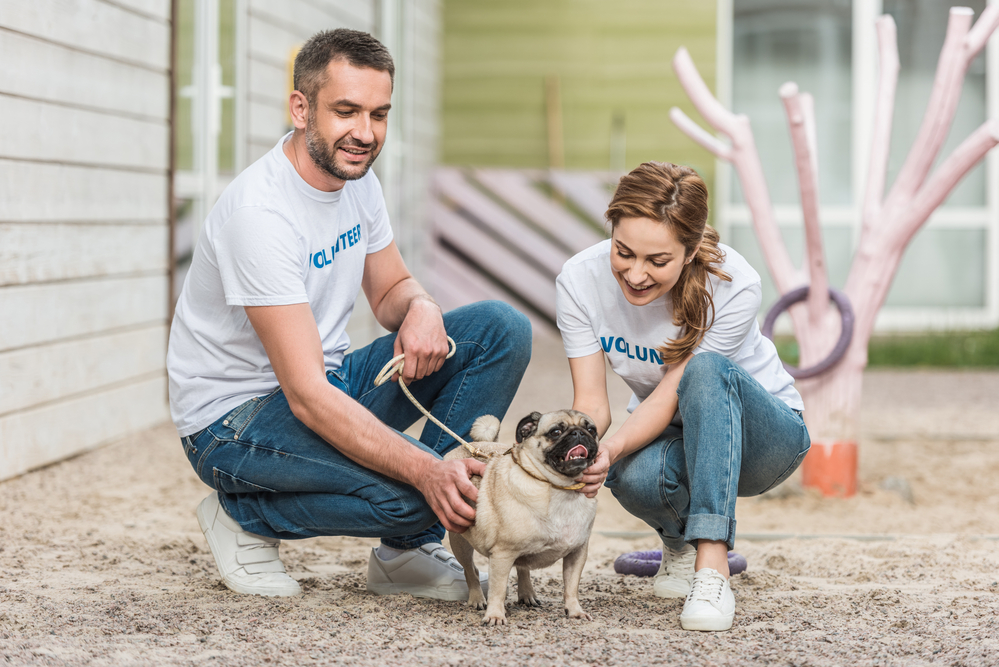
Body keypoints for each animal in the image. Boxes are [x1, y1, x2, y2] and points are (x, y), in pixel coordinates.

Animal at [448, 408, 600, 628]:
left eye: (591, 430)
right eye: (555, 432)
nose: (578, 433)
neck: (560, 488)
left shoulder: (577, 553)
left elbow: (571, 587)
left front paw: (575, 611)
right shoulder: (502, 554)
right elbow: (497, 590)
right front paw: (495, 615)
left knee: (522, 567)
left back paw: (527, 593)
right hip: (460, 540)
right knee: (471, 570)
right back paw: (477, 599)